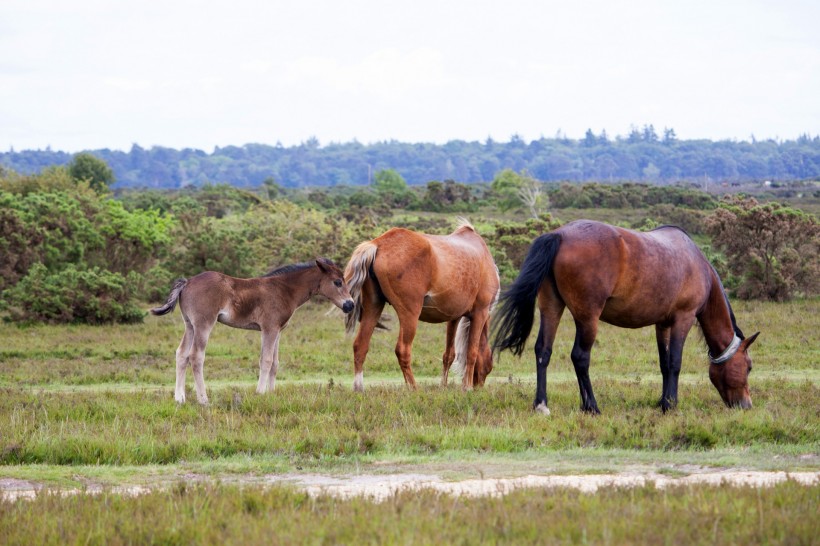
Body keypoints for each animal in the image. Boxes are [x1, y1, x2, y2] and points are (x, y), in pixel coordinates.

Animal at [152, 258, 354, 402]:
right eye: (337, 282)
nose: (350, 305)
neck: (284, 290)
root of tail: (187, 282)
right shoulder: (269, 328)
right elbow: (266, 360)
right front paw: (260, 393)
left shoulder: (278, 330)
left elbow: (275, 363)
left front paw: (271, 393)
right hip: (204, 324)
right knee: (196, 356)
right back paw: (203, 400)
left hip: (190, 325)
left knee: (181, 354)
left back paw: (179, 398)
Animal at [342, 219, 496, 388]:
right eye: (489, 367)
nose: (478, 386)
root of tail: (378, 244)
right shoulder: (481, 313)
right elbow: (472, 352)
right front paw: (466, 387)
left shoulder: (453, 317)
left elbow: (449, 354)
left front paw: (443, 386)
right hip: (410, 314)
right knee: (403, 350)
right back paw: (414, 388)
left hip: (374, 307)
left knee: (360, 346)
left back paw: (359, 388)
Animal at [490, 220, 760, 412]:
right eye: (748, 367)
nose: (746, 405)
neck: (697, 264)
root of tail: (560, 235)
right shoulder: (683, 319)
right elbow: (675, 362)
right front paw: (670, 405)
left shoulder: (662, 324)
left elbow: (664, 363)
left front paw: (661, 401)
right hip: (588, 318)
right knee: (580, 357)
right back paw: (591, 406)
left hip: (551, 307)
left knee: (543, 351)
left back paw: (542, 405)